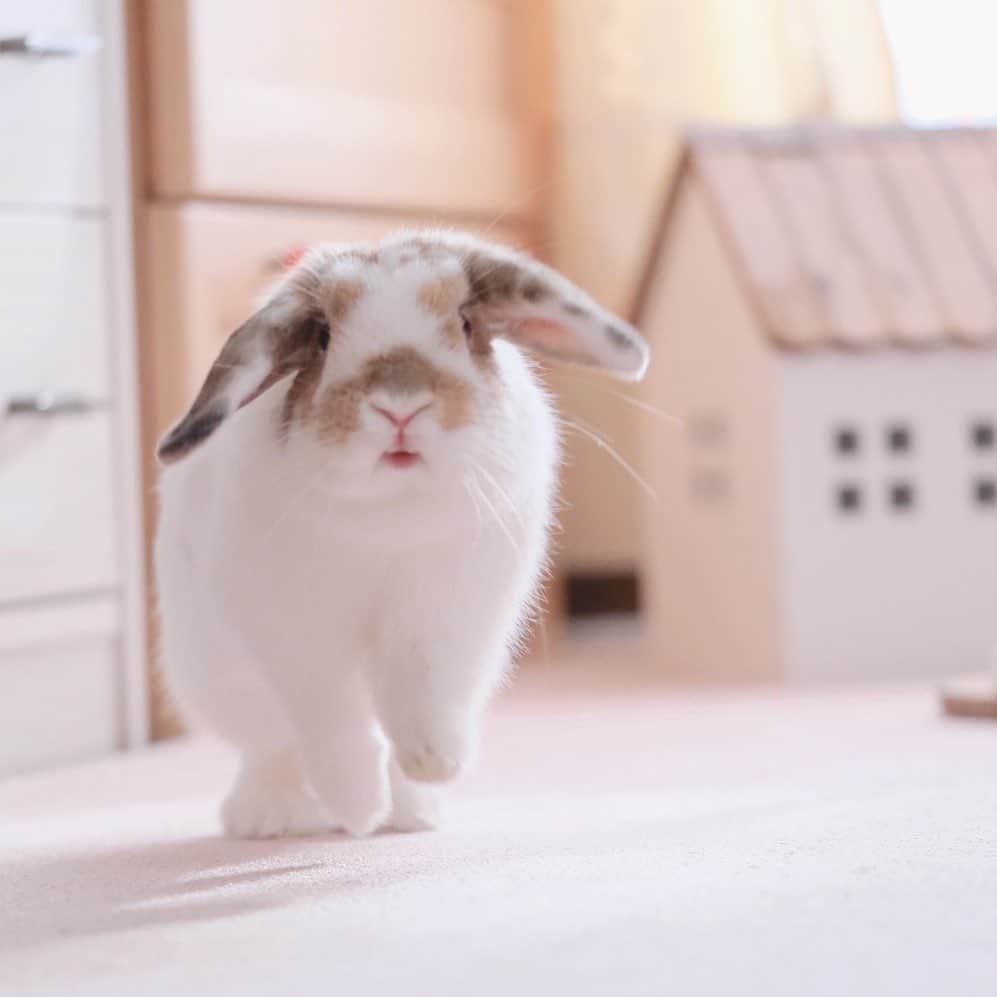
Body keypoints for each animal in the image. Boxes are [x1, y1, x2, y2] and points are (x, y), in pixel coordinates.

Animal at [154, 230, 649, 839]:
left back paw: (413, 813)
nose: (400, 407)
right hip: (217, 677)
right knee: (273, 750)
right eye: (322, 336)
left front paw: (434, 765)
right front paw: (356, 804)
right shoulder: (294, 631)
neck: (390, 519)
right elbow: (330, 715)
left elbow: (420, 699)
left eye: (465, 323)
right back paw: (274, 816)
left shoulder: (442, 619)